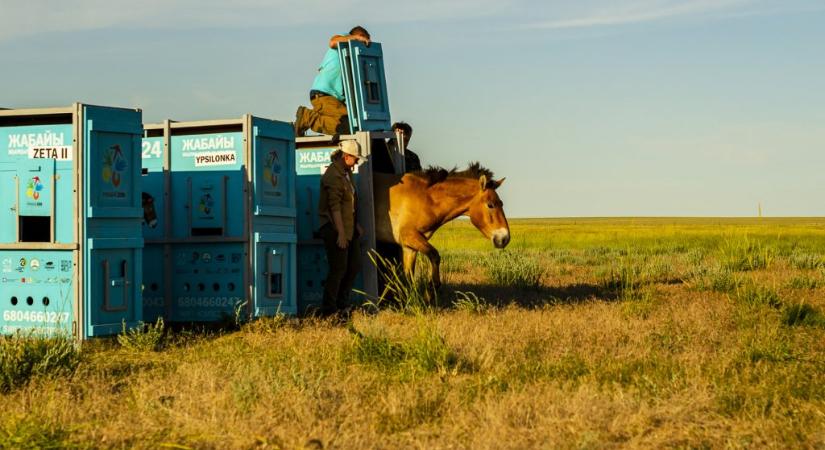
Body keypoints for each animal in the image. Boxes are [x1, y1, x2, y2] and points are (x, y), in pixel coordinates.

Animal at [372, 163, 508, 290]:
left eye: (501, 203)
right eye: (490, 205)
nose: (505, 238)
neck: (425, 198)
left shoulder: (409, 247)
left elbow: (409, 278)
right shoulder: (408, 236)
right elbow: (435, 255)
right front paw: (432, 287)